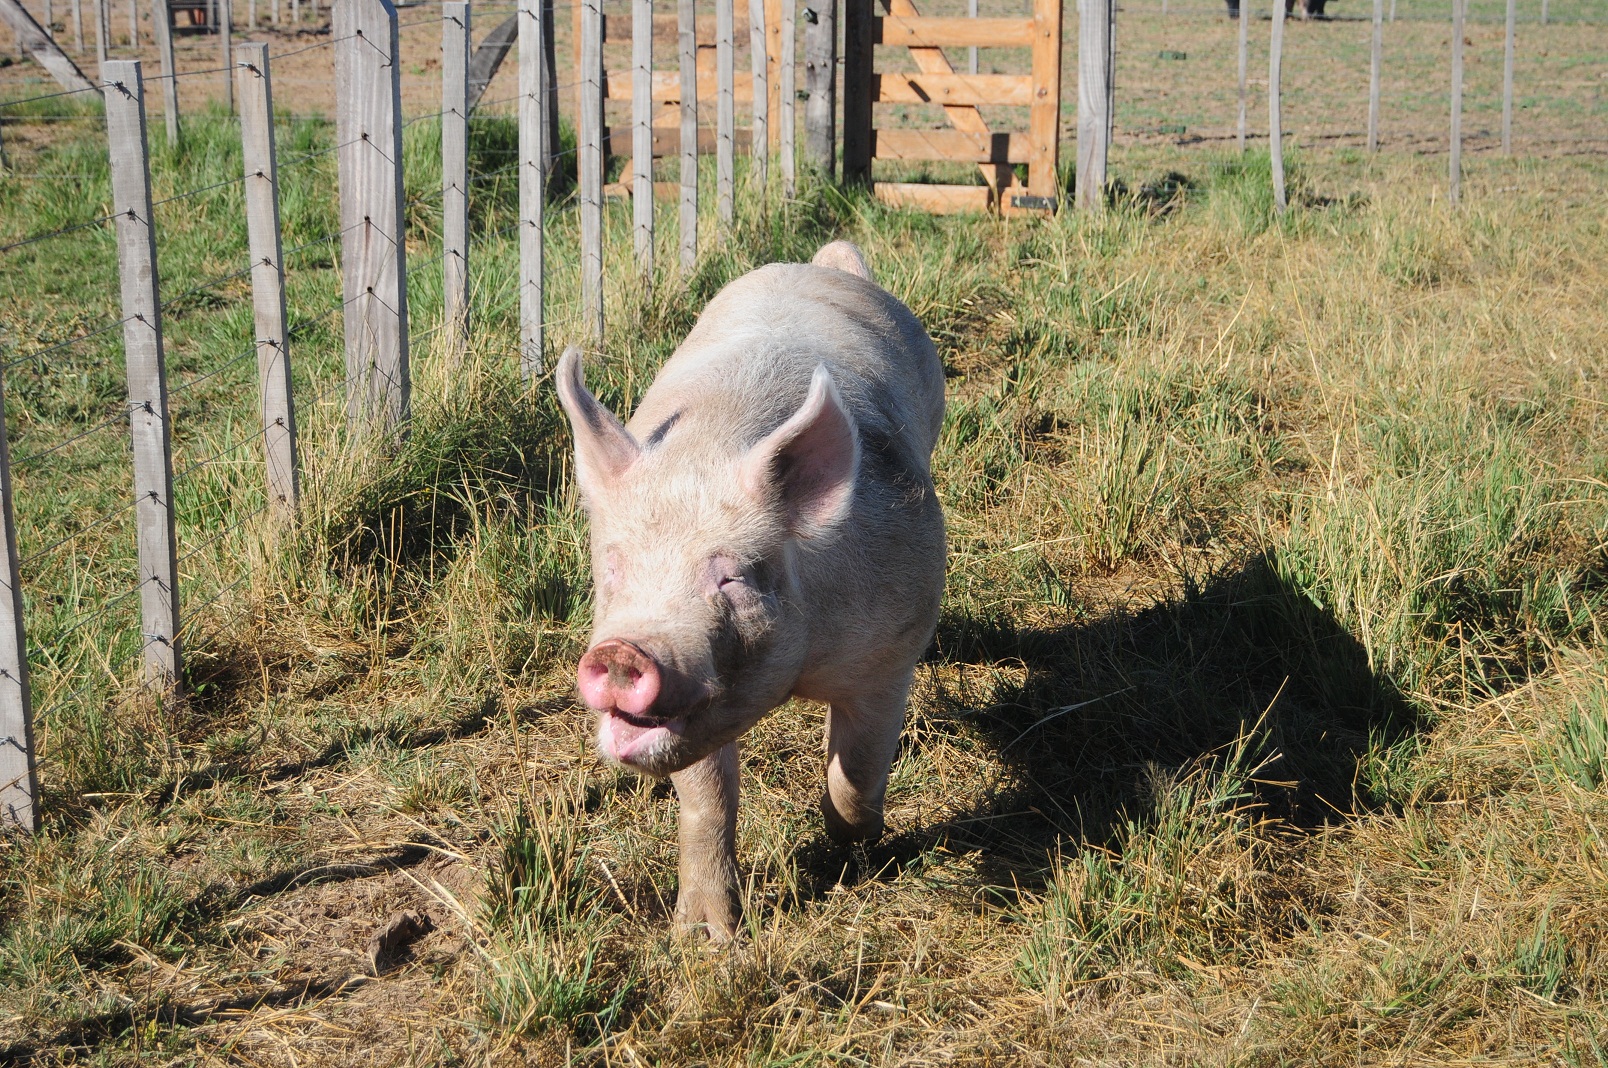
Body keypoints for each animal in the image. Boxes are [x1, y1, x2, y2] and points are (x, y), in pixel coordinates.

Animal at [559, 239, 945, 932]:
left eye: (732, 575)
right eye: (615, 569)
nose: (624, 652)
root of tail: (816, 266)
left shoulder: (890, 653)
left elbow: (858, 771)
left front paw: (853, 860)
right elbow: (707, 803)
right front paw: (703, 935)